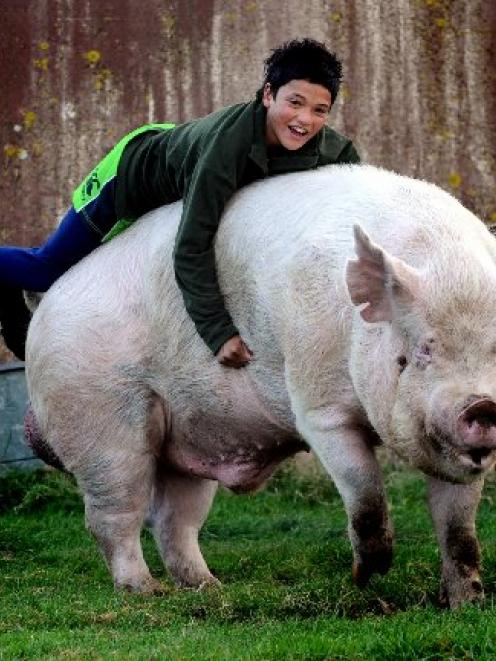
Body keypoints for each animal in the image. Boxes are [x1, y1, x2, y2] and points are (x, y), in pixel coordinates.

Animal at [24, 164, 496, 604]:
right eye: (422, 349)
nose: (483, 406)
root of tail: (44, 307)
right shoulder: (316, 402)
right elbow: (363, 491)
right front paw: (364, 579)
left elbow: (458, 525)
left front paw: (465, 604)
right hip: (99, 421)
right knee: (113, 516)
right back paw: (145, 591)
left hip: (188, 435)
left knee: (173, 519)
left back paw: (210, 588)